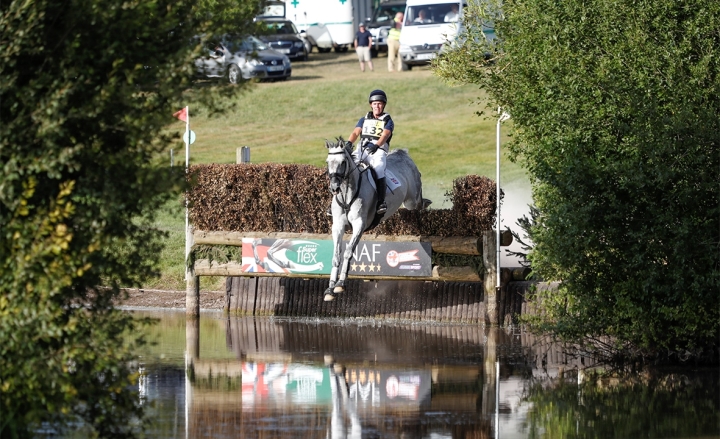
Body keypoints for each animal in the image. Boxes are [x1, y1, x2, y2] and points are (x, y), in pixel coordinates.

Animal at [324, 138, 430, 302]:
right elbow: (336, 255)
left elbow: (348, 251)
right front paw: (330, 289)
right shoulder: (338, 226)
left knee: (418, 204)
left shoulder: (359, 225)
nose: (334, 187)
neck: (347, 194)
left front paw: (340, 284)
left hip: (412, 200)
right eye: (328, 162)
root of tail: (402, 153)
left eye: (342, 162)